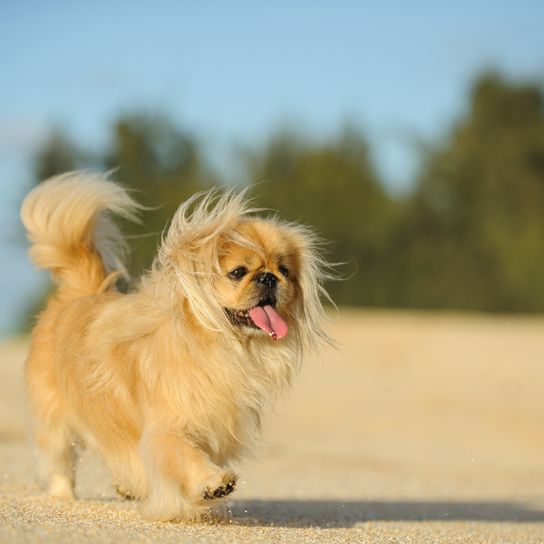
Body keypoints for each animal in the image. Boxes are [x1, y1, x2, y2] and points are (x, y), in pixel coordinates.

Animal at [20, 172, 332, 520]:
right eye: (238, 272)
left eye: (284, 270)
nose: (268, 277)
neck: (219, 346)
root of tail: (78, 294)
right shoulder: (168, 429)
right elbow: (186, 456)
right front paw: (213, 484)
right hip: (55, 421)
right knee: (61, 463)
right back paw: (64, 498)